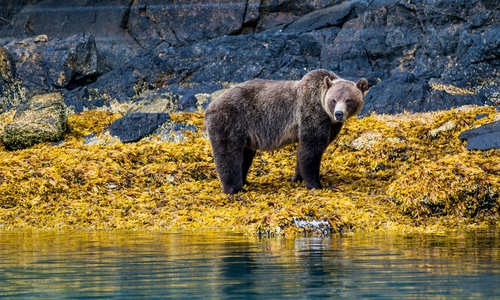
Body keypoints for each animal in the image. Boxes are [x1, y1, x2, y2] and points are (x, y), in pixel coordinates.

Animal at [203, 69, 368, 193]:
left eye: (348, 100)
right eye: (333, 100)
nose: (339, 114)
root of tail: (210, 105)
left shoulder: (330, 125)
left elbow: (306, 150)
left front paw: (297, 178)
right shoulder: (311, 113)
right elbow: (311, 150)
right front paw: (315, 183)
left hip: (245, 133)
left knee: (245, 155)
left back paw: (245, 182)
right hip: (230, 120)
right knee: (228, 154)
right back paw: (234, 188)